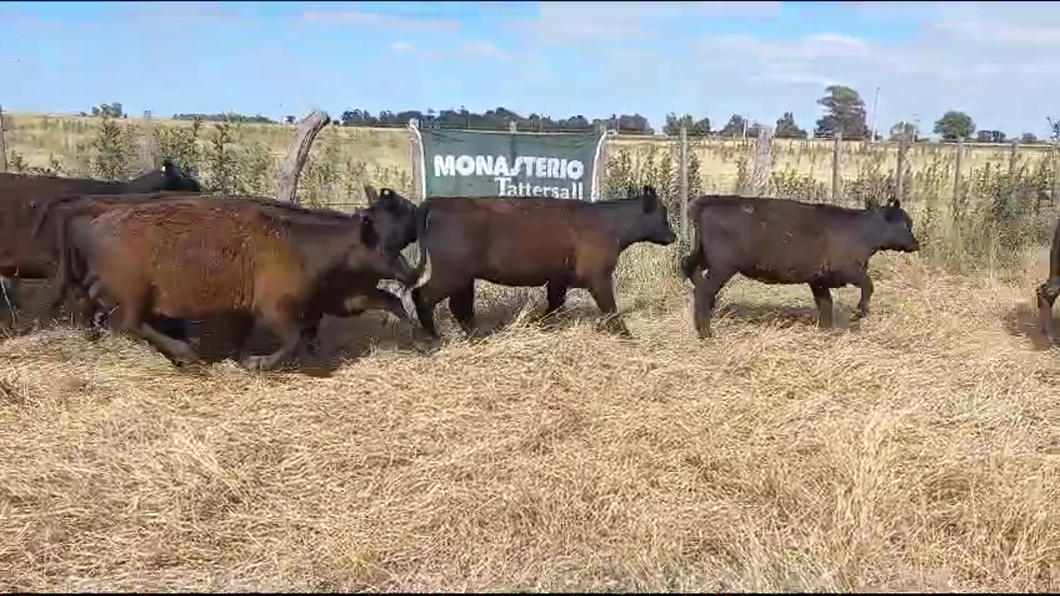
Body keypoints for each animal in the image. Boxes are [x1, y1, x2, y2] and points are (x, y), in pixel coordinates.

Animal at [54, 197, 419, 371]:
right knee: (129, 324)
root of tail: (99, 219)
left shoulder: (336, 300)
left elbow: (388, 301)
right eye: (387, 247)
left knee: (98, 306)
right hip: (133, 293)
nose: (414, 274)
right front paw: (258, 363)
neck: (302, 247)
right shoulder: (274, 309)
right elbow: (290, 340)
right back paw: (186, 355)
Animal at [408, 185, 677, 338]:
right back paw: (434, 336)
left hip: (463, 278)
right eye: (662, 213)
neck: (611, 224)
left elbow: (555, 304)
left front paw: (535, 322)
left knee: (460, 307)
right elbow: (610, 308)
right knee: (423, 296)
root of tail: (442, 200)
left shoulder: (558, 279)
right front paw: (626, 334)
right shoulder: (599, 277)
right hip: (450, 274)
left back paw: (478, 335)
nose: (673, 236)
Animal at [679, 195, 920, 339]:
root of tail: (708, 202)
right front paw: (861, 311)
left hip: (704, 259)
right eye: (906, 224)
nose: (916, 243)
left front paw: (826, 331)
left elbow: (826, 304)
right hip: (722, 267)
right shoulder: (848, 270)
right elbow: (868, 285)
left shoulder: (818, 280)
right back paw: (707, 333)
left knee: (690, 271)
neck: (863, 230)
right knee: (702, 291)